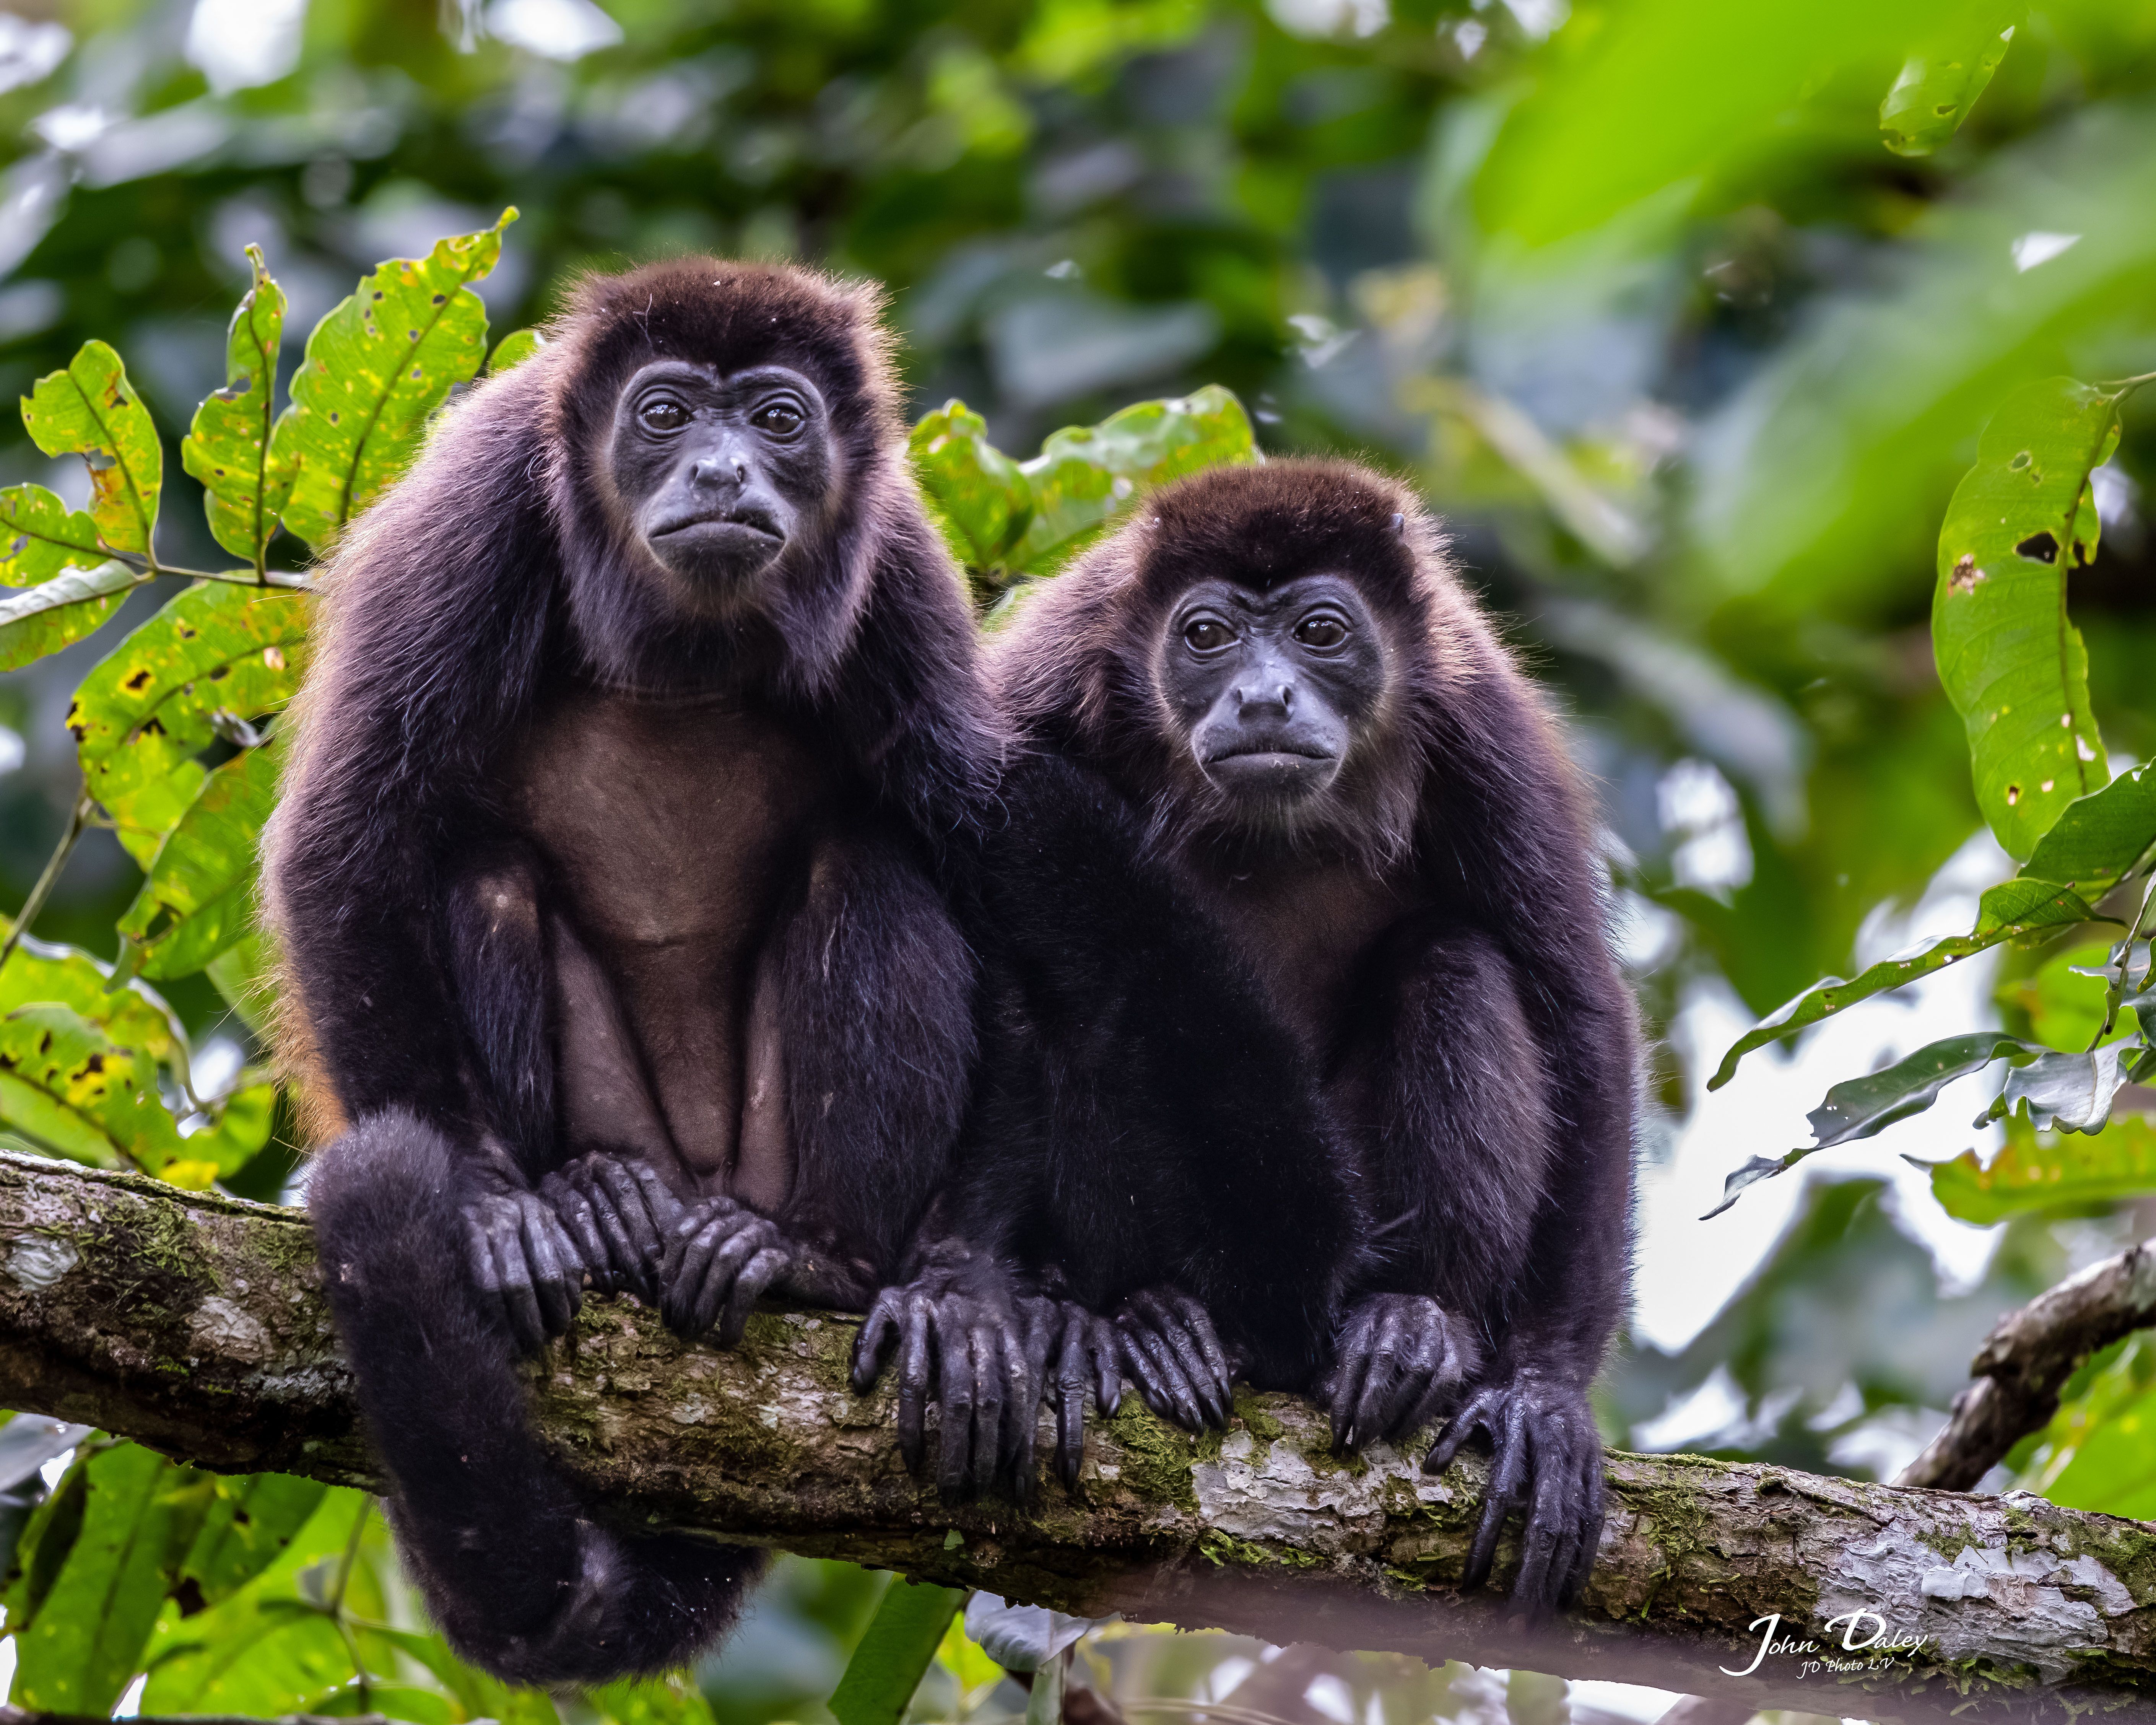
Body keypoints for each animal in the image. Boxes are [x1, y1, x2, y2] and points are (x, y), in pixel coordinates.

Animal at [266, 260, 997, 1684]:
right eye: (663, 415)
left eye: (775, 419)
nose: (718, 468)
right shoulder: (480, 503)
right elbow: (348, 837)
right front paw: (489, 1207)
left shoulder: (898, 572)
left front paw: (978, 1292)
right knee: (476, 872)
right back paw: (593, 1201)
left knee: (867, 862)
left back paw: (814, 1259)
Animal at [855, 459, 1635, 1618]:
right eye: (1208, 635)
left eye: (1320, 631)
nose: (1262, 696)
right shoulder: (1042, 690)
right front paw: (972, 1291)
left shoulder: (1482, 725)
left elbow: (1576, 1005)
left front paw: (1540, 1393)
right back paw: (1129, 1317)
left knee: (1453, 960)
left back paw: (1415, 1325)